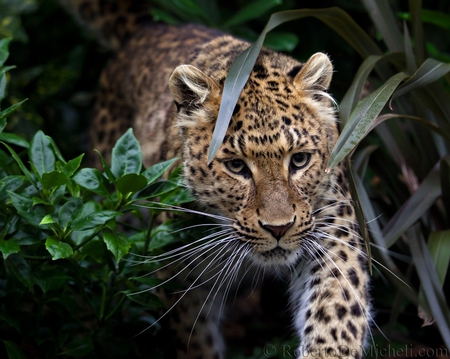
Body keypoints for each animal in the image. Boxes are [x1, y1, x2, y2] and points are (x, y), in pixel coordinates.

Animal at [61, 1, 370, 358]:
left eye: (300, 160)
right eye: (236, 166)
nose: (279, 229)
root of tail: (149, 27)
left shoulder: (333, 229)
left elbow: (337, 307)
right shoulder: (180, 271)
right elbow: (195, 338)